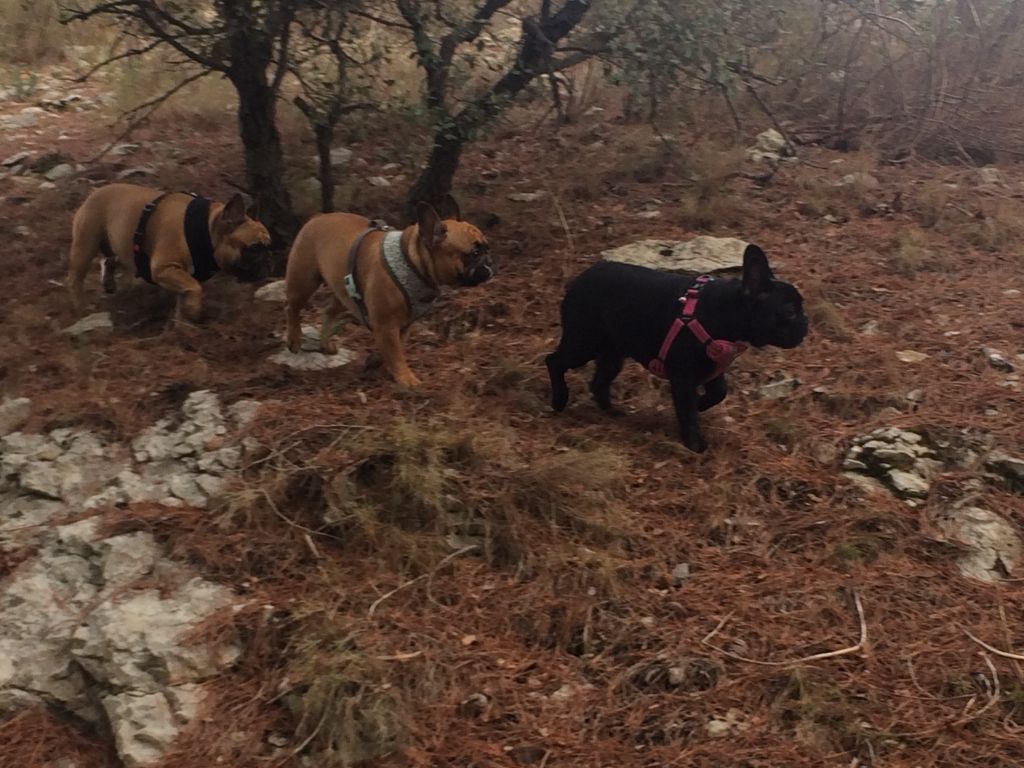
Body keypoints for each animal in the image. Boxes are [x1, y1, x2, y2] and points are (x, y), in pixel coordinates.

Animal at [67, 183, 272, 321]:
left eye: (269, 245)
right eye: (254, 248)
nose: (270, 262)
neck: (207, 229)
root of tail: (94, 192)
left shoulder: (181, 276)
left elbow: (187, 291)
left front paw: (183, 320)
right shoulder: (163, 268)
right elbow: (195, 287)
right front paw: (193, 311)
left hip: (115, 243)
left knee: (110, 259)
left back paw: (109, 283)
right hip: (85, 246)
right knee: (76, 280)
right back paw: (81, 307)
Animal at [284, 199, 491, 385]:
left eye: (486, 248)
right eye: (474, 253)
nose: (490, 262)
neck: (412, 261)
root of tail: (317, 217)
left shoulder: (404, 325)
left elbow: (396, 347)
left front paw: (379, 363)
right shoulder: (385, 324)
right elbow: (395, 352)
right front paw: (407, 378)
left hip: (343, 291)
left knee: (329, 311)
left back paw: (325, 344)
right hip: (304, 281)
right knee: (293, 308)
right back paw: (294, 338)